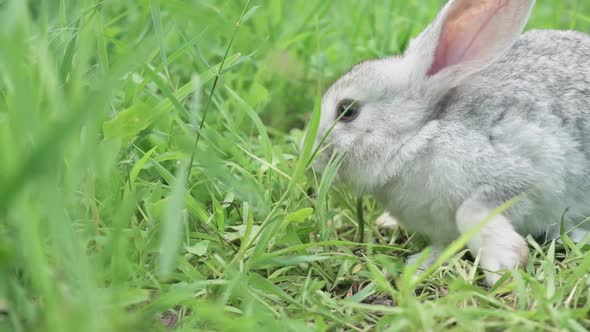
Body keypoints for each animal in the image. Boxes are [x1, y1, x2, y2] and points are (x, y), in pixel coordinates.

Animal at [314, 0, 590, 286]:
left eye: (347, 111)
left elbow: (469, 212)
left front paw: (505, 264)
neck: (418, 136)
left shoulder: (523, 177)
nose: (315, 159)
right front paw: (418, 267)